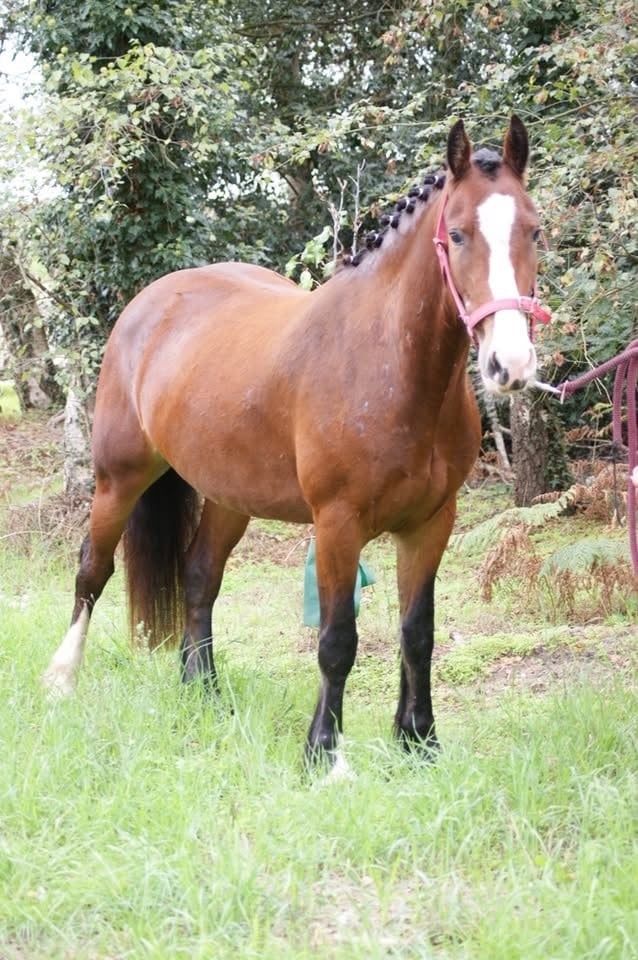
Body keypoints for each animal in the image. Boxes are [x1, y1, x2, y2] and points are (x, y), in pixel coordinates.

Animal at [43, 116, 551, 766]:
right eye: (458, 234)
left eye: (534, 229)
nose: (509, 364)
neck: (391, 367)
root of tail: (151, 301)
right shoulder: (337, 523)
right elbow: (337, 640)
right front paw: (324, 751)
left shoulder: (431, 522)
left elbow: (418, 632)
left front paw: (418, 740)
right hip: (119, 478)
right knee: (92, 571)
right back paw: (63, 679)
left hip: (229, 497)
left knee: (199, 577)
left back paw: (202, 691)